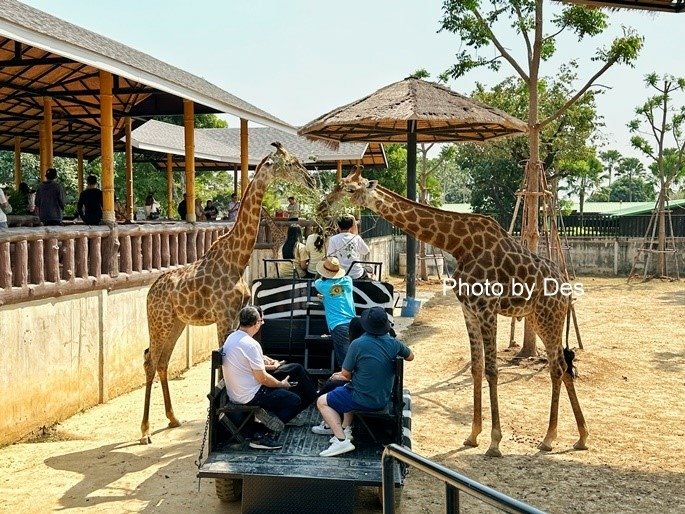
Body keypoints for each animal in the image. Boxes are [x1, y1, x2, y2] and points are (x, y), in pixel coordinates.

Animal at [142, 142, 312, 442]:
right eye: (291, 163)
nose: (310, 179)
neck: (238, 259)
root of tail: (150, 293)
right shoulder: (222, 316)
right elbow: (222, 365)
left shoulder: (235, 314)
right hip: (159, 321)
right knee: (150, 361)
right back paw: (145, 432)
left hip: (176, 322)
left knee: (162, 361)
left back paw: (173, 419)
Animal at [326, 166, 588, 454]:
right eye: (337, 185)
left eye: (350, 189)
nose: (323, 206)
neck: (457, 244)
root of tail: (567, 291)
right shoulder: (469, 310)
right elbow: (476, 367)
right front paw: (473, 435)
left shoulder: (487, 308)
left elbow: (492, 370)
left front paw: (494, 442)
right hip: (537, 317)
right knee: (563, 365)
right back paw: (580, 437)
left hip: (548, 316)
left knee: (557, 366)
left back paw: (550, 438)